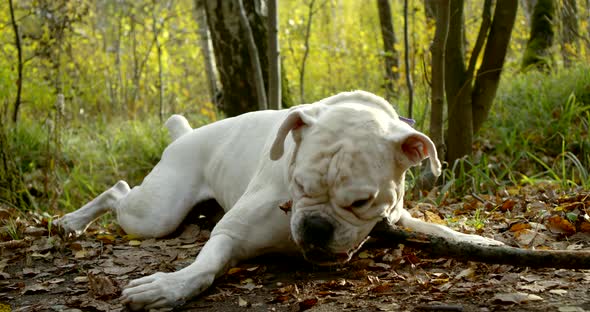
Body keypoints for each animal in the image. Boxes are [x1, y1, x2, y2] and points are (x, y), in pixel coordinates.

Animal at [54, 91, 504, 310]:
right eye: (299, 185)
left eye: (361, 202)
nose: (316, 227)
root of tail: (188, 135)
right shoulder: (231, 231)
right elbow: (205, 265)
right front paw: (171, 285)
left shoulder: (396, 216)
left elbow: (437, 228)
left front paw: (482, 241)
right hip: (154, 215)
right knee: (118, 191)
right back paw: (70, 223)